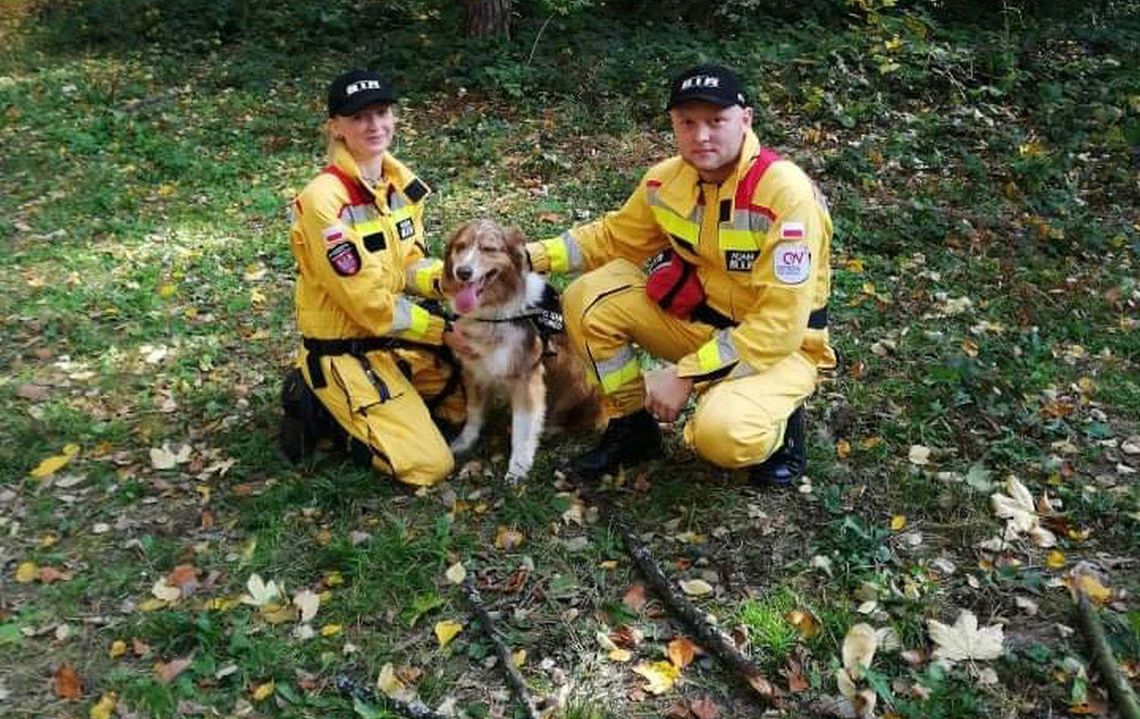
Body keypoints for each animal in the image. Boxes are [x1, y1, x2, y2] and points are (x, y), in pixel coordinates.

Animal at [437, 216, 606, 480]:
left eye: (489, 249)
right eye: (460, 247)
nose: (463, 272)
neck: (494, 312)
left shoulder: (526, 378)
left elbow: (523, 430)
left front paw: (517, 468)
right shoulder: (474, 369)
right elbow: (474, 413)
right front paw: (464, 443)